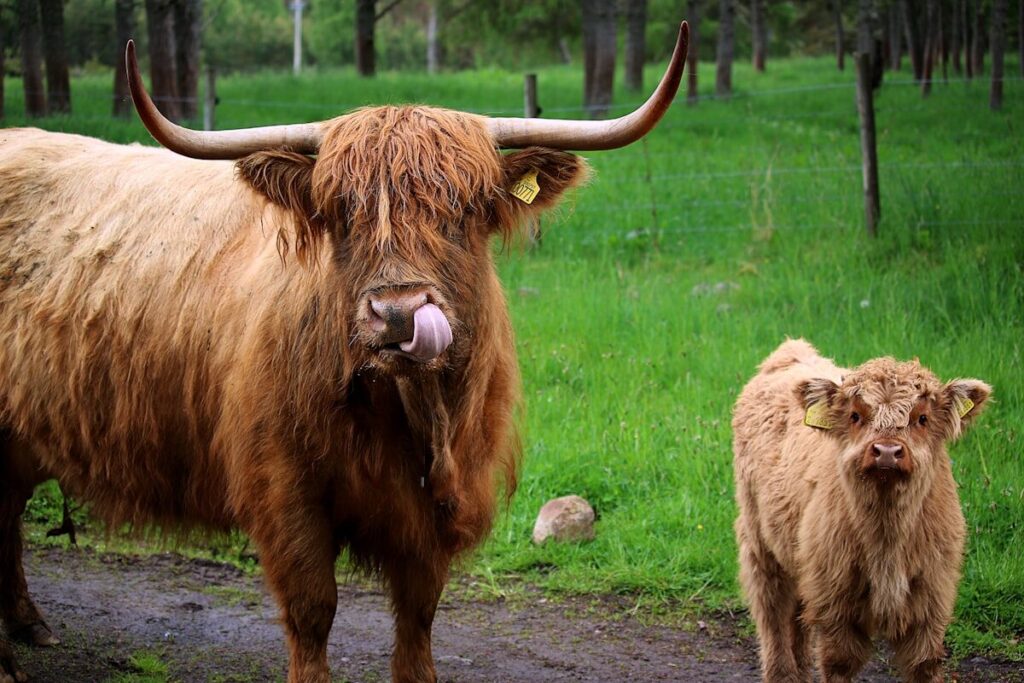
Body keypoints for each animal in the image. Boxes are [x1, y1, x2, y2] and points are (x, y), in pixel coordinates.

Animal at [0, 23, 689, 683]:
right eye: (342, 213)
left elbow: (418, 619)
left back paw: (31, 626)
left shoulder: (437, 508)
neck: (413, 415)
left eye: (464, 209)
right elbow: (313, 611)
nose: (399, 312)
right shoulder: (285, 493)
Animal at [732, 339, 991, 683]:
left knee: (796, 619)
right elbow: (839, 662)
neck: (886, 534)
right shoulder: (835, 601)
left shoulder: (931, 598)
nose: (887, 451)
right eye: (855, 415)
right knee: (772, 612)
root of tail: (791, 351)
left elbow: (924, 663)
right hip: (759, 543)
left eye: (922, 418)